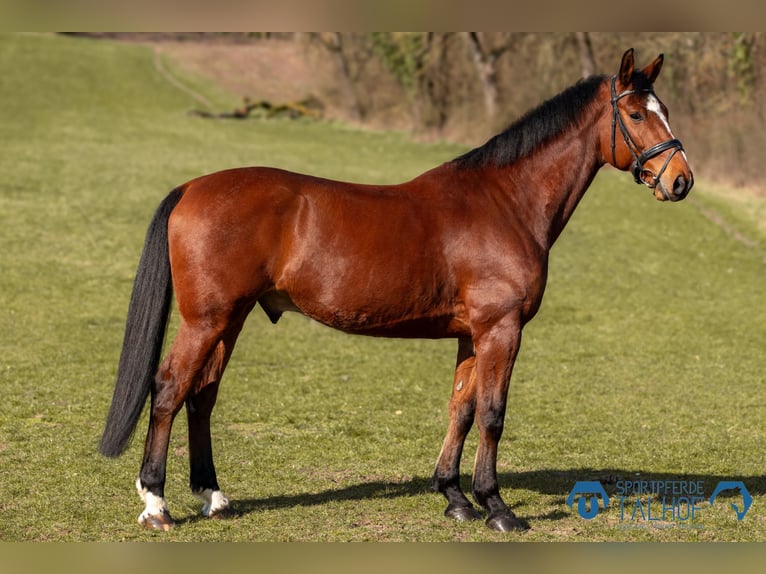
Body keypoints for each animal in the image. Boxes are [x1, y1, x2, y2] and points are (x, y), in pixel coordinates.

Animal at [99, 48, 693, 533]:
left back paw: (214, 497)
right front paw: (496, 507)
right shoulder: (501, 330)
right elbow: (493, 415)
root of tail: (191, 188)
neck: (506, 201)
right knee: (169, 389)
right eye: (636, 114)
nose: (680, 180)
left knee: (202, 396)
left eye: (663, 108)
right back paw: (156, 503)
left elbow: (461, 409)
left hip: (232, 318)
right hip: (206, 319)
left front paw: (455, 498)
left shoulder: (471, 335)